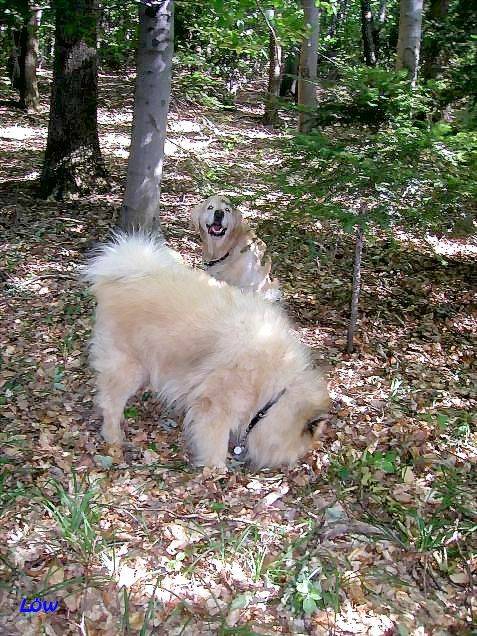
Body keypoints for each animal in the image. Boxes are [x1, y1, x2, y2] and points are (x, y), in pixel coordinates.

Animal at [83, 232, 328, 468]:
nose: (291, 464)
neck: (276, 389)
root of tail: (123, 274)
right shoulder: (217, 405)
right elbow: (215, 440)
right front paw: (217, 468)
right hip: (127, 366)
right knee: (110, 402)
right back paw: (114, 435)